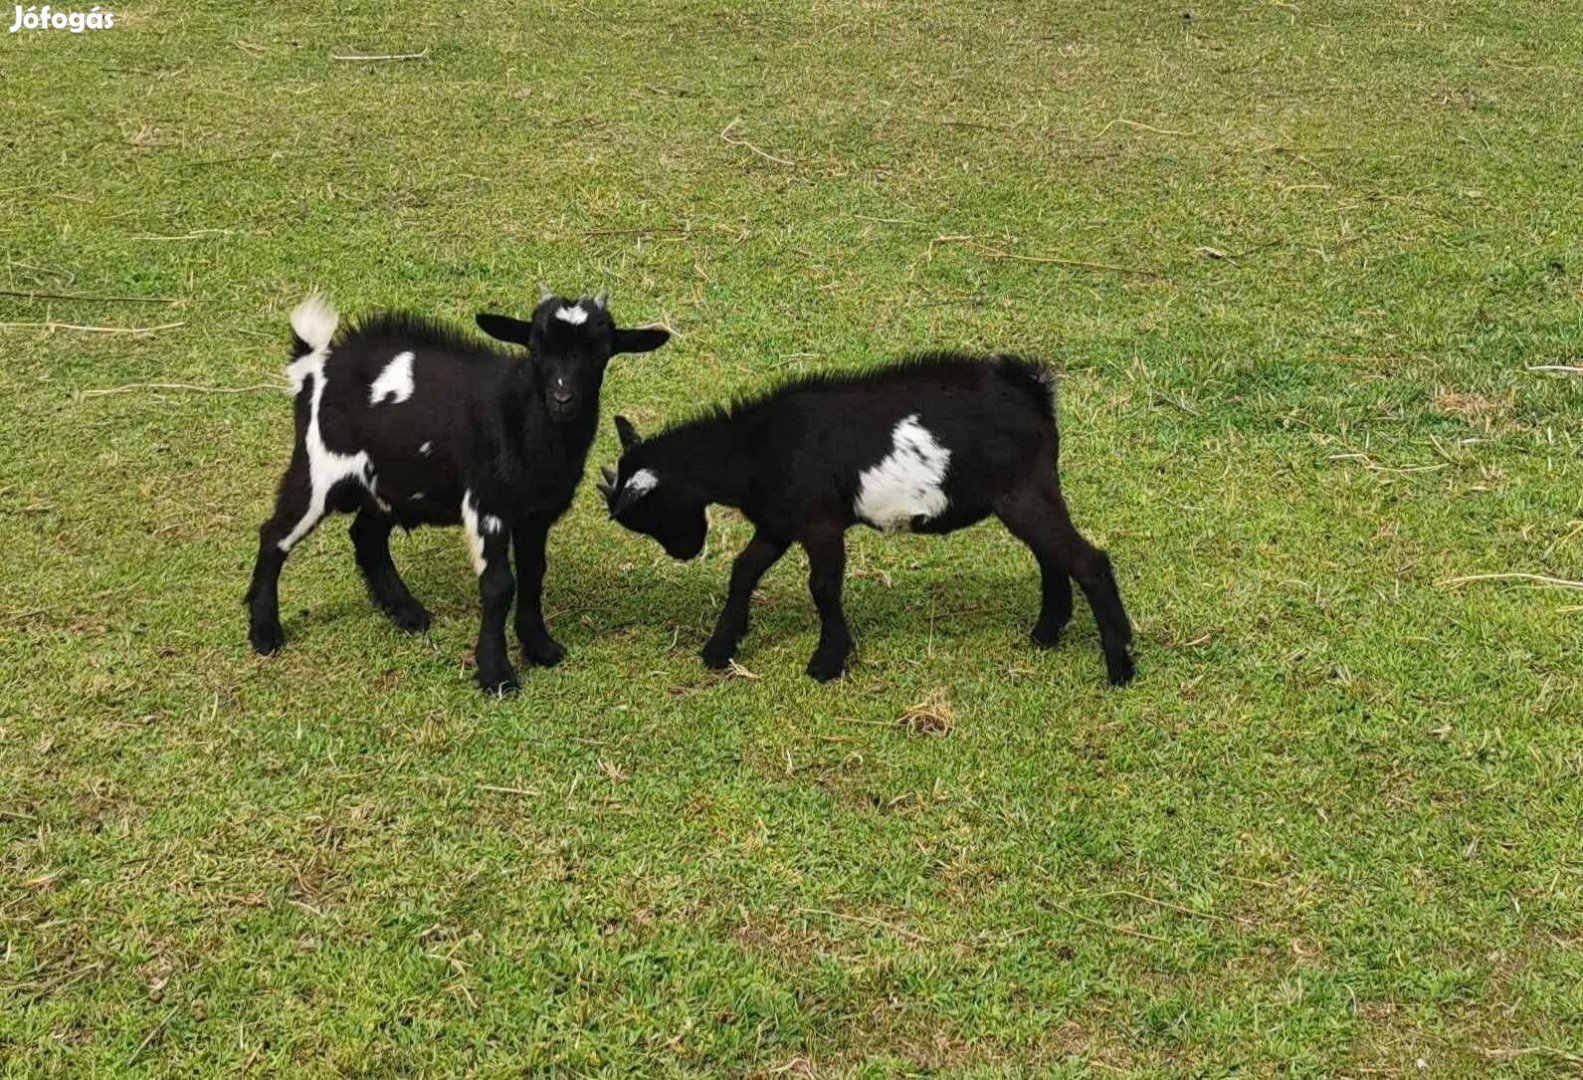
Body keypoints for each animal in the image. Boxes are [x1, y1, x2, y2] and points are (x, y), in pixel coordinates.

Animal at [245, 286, 668, 690]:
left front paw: (540, 647)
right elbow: (499, 586)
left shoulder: (535, 514)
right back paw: (265, 633)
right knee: (276, 534)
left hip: (390, 483)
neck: (521, 417)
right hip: (319, 469)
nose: (563, 399)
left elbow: (533, 574)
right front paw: (496, 673)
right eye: (535, 347)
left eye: (601, 352)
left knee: (365, 534)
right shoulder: (487, 505)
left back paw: (408, 613)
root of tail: (313, 366)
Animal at [598, 357, 1133, 684]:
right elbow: (744, 570)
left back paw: (1120, 665)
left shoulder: (820, 521)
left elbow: (823, 586)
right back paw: (1046, 634)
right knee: (1052, 557)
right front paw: (719, 649)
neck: (757, 448)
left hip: (1023, 492)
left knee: (1088, 561)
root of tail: (1035, 391)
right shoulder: (779, 522)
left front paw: (827, 661)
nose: (685, 551)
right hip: (1026, 495)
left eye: (646, 514)